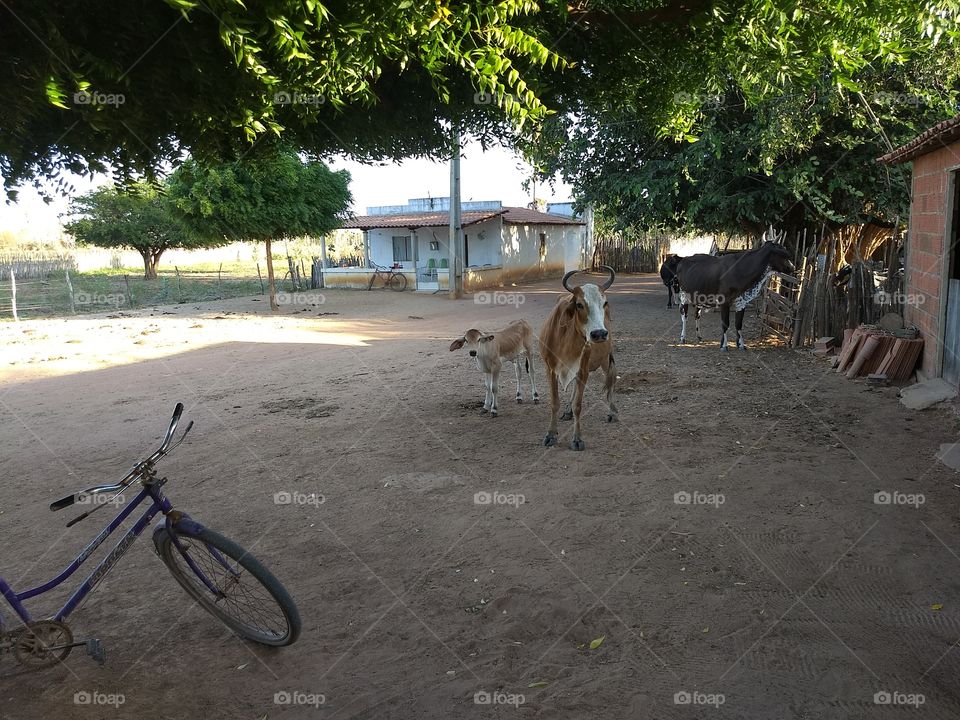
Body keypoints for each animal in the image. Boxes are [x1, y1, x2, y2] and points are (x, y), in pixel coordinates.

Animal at [539, 266, 617, 451]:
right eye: (580, 304)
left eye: (604, 303)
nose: (599, 334)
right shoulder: (550, 369)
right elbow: (555, 402)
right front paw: (551, 434)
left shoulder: (583, 370)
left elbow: (578, 405)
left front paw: (577, 438)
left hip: (605, 359)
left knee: (610, 380)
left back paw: (612, 411)